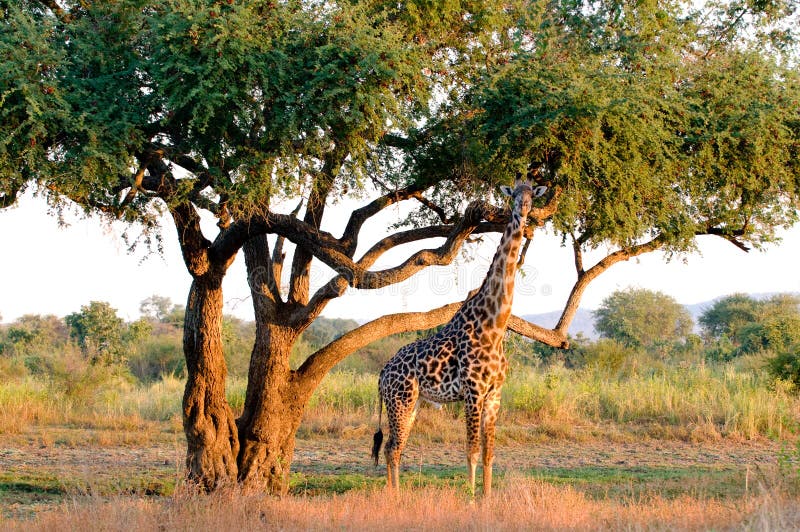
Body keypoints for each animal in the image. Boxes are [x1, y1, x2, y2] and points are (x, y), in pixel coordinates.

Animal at [372, 181, 548, 496]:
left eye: (532, 194)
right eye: (513, 194)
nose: (523, 208)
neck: (494, 325)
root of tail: (382, 373)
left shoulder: (494, 393)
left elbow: (489, 453)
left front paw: (487, 498)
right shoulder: (473, 391)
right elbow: (472, 451)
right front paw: (470, 498)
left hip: (412, 402)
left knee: (395, 446)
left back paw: (396, 495)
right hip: (400, 399)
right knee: (392, 447)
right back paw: (396, 497)